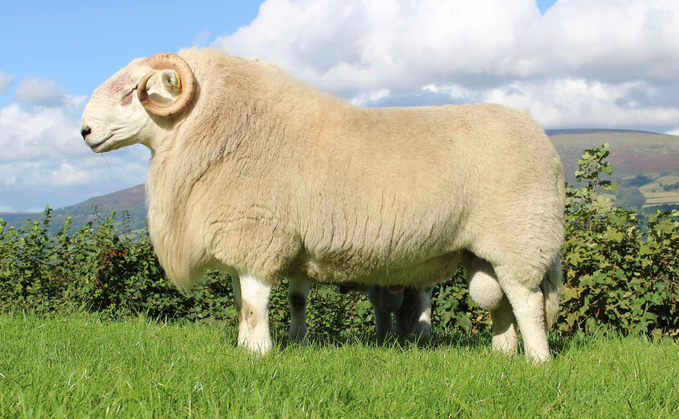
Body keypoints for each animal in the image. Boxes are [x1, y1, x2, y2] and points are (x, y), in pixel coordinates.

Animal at [79, 48, 564, 364]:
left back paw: (536, 362)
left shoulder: (259, 235)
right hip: (483, 252)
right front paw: (249, 347)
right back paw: (502, 356)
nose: (83, 131)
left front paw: (259, 354)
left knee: (525, 301)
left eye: (131, 91)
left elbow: (254, 303)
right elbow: (248, 302)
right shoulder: (243, 243)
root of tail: (544, 141)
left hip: (521, 237)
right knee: (500, 304)